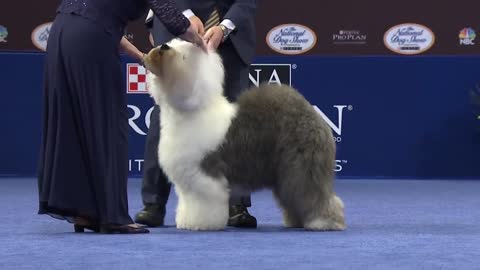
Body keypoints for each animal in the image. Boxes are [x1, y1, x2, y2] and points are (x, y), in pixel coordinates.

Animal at [142, 39, 344, 231]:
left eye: (184, 56)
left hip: (301, 166)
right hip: (285, 173)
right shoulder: (189, 180)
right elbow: (188, 203)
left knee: (313, 193)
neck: (192, 109)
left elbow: (202, 204)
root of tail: (309, 111)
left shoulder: (205, 176)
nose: (164, 46)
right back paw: (297, 221)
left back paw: (324, 222)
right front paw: (186, 221)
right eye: (174, 43)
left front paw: (201, 223)